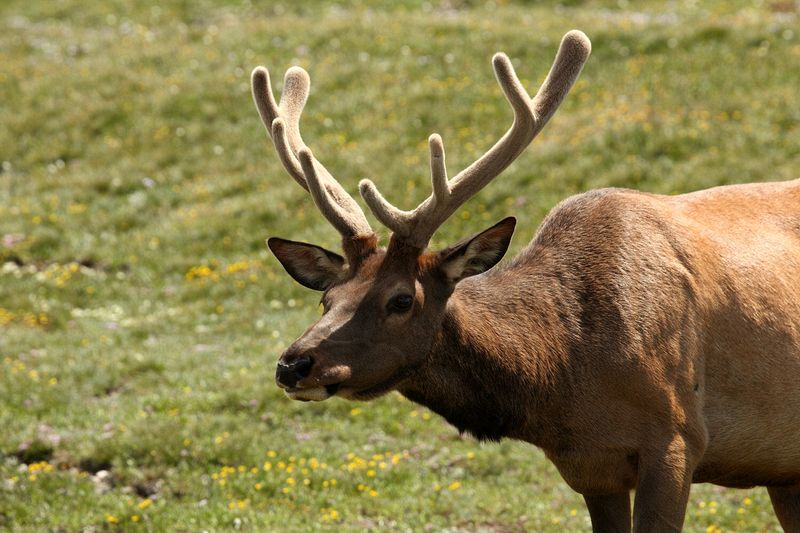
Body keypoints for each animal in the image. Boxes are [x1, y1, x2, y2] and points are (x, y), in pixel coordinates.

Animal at [250, 30, 800, 532]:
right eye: (327, 298)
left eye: (401, 300)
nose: (293, 364)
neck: (564, 377)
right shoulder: (591, 468)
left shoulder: (677, 437)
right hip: (784, 473)